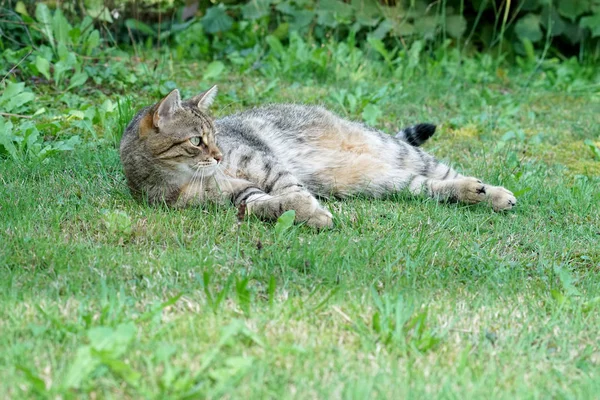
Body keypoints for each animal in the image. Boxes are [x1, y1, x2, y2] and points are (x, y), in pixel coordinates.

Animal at [118, 85, 516, 227]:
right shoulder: (235, 194)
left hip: (394, 150)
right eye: (197, 140)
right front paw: (300, 213)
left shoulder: (263, 164)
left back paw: (494, 193)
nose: (216, 155)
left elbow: (290, 189)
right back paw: (471, 193)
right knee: (427, 186)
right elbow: (268, 204)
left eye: (215, 137)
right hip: (376, 180)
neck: (181, 176)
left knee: (445, 172)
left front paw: (311, 211)